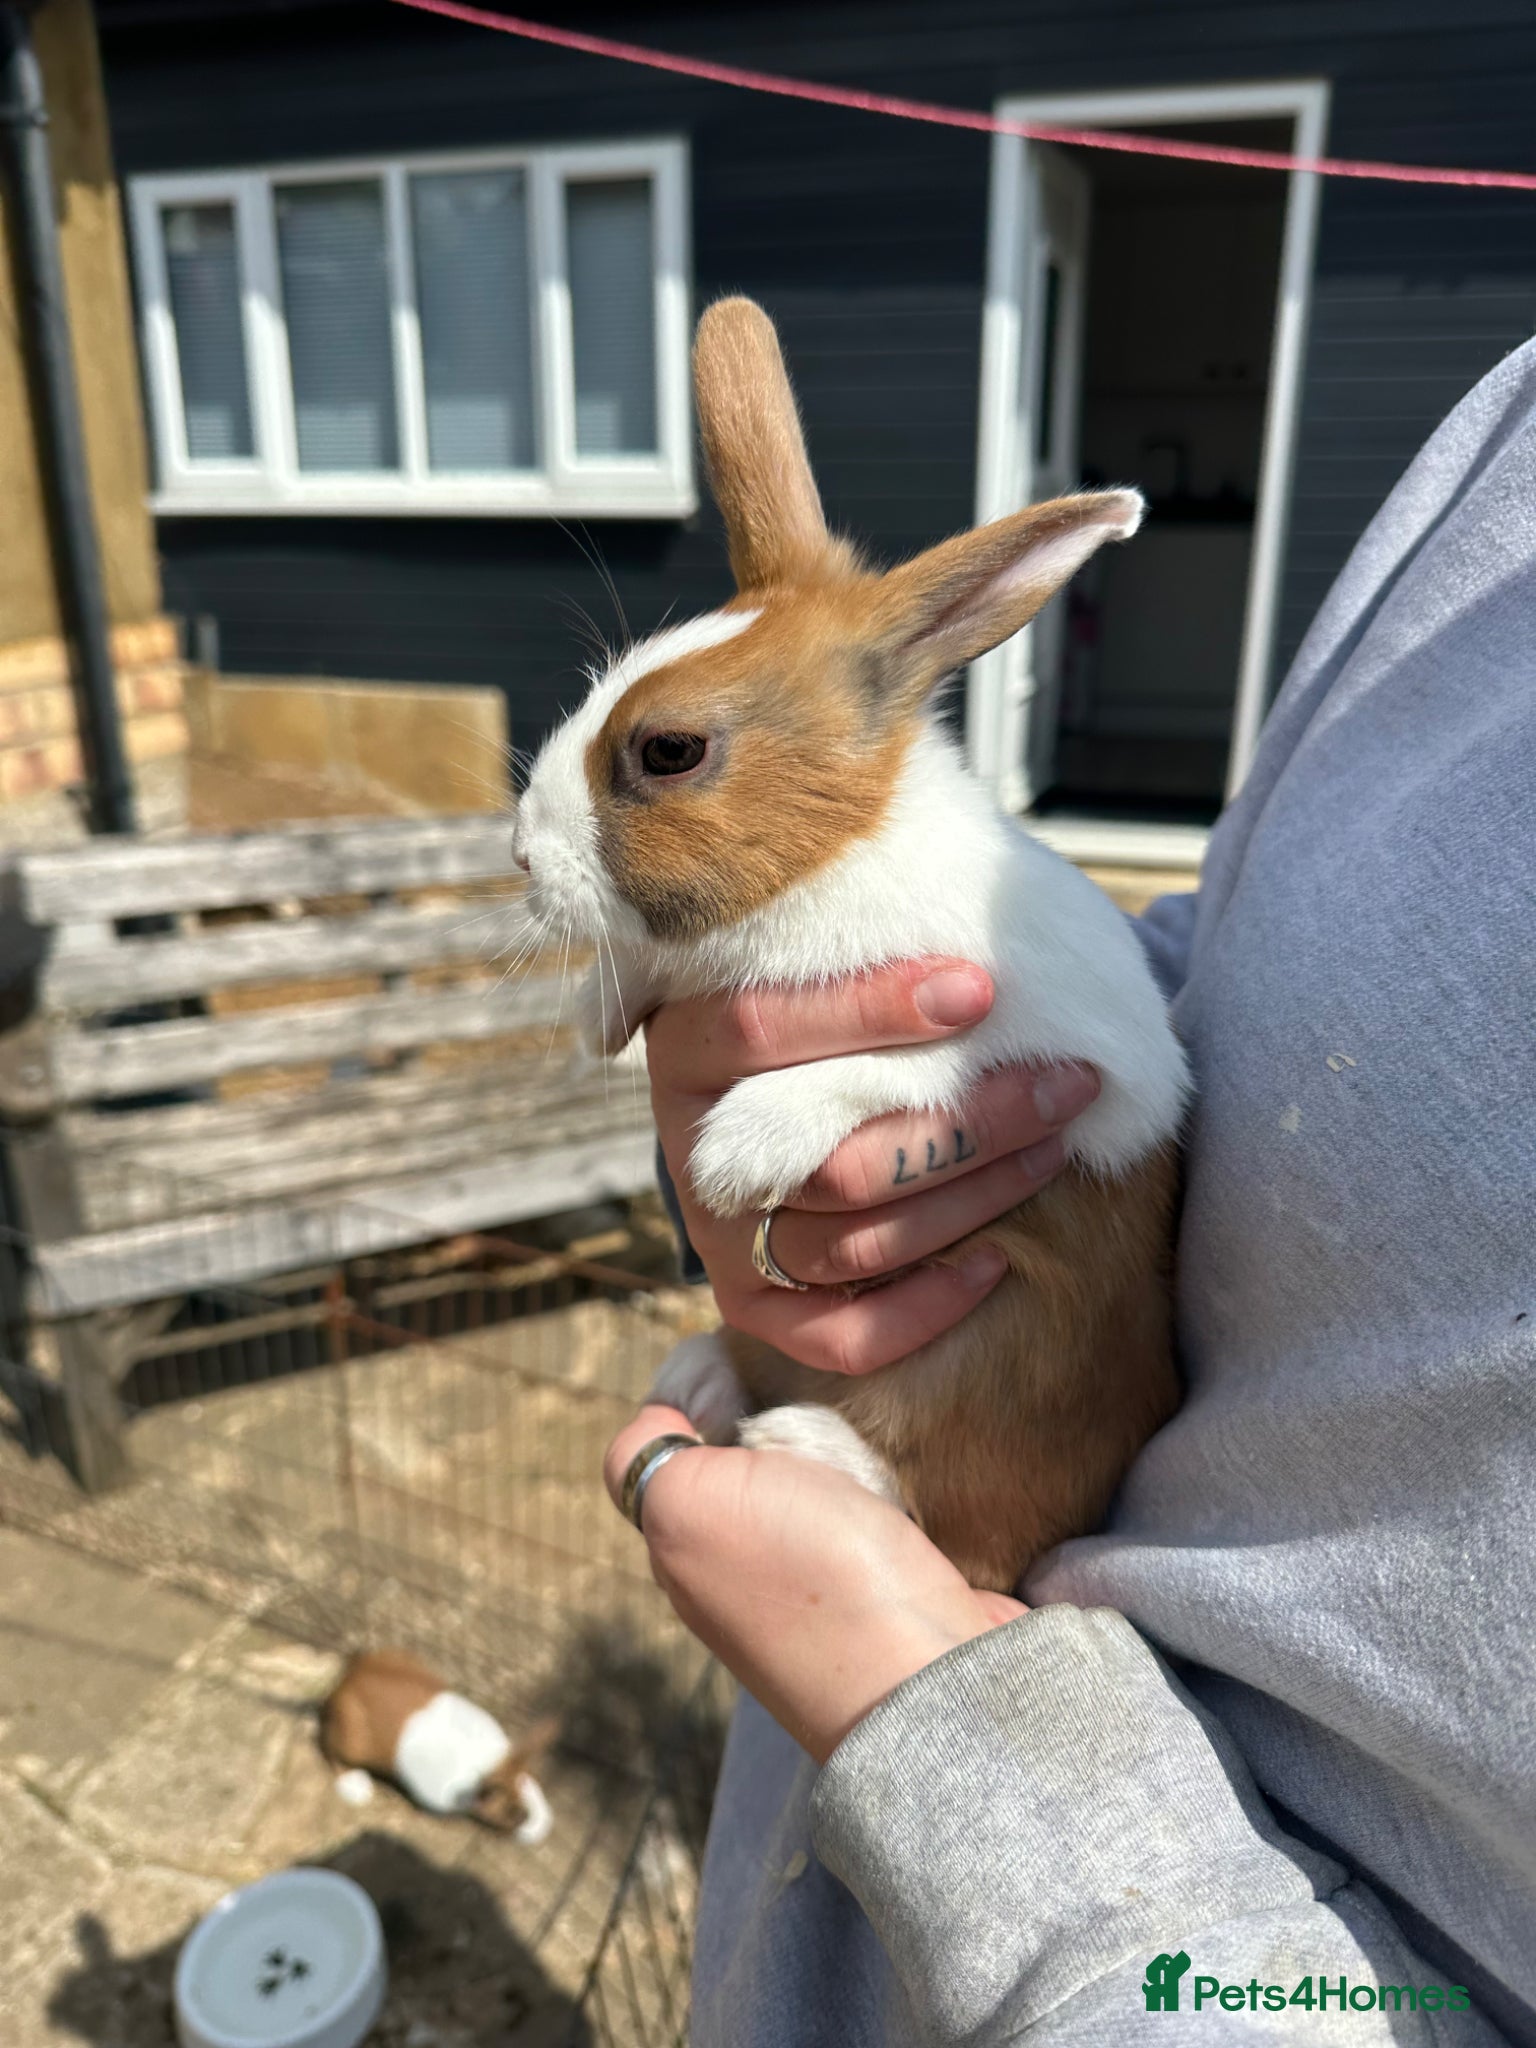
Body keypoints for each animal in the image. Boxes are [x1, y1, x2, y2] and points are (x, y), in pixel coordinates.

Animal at [319, 1649, 557, 1840]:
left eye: (527, 1779)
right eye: (513, 1814)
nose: (538, 1824)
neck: (492, 1766)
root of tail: (347, 1678)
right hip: (351, 1741)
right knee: (332, 1751)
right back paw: (355, 1786)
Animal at [513, 296, 1190, 1593]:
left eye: (667, 751)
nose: (520, 854)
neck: (826, 863)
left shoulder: (1074, 1057)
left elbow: (914, 1061)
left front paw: (738, 1150)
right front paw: (596, 1021)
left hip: (998, 1409)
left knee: (953, 1512)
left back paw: (798, 1438)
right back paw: (701, 1371)